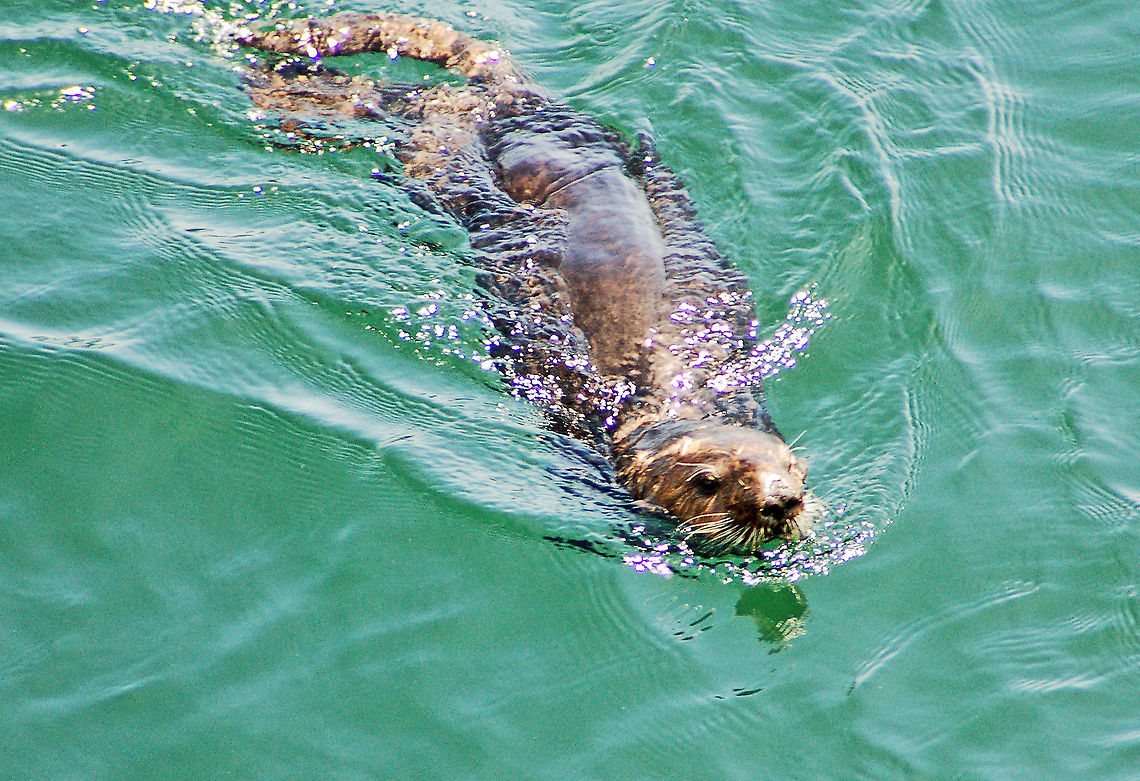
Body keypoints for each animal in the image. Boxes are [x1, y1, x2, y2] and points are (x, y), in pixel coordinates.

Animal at [236, 13, 814, 551]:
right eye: (707, 483)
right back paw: (281, 89)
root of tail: (512, 97)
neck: (674, 396)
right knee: (378, 97)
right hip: (433, 133)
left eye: (790, 468)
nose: (781, 501)